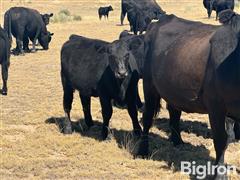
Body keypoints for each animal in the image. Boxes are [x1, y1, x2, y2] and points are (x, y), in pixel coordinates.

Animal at [137, 10, 240, 179]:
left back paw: (177, 141)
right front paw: (219, 174)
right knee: (147, 117)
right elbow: (221, 140)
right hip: (149, 85)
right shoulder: (216, 107)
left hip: (172, 88)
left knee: (174, 112)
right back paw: (142, 151)